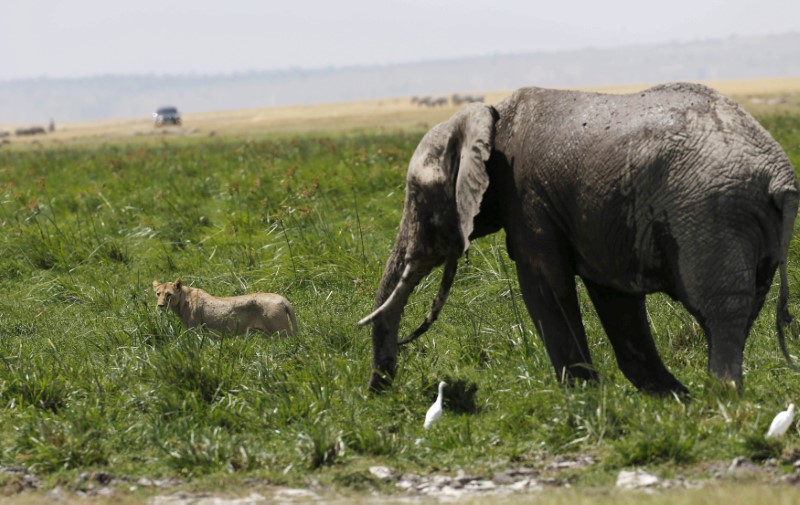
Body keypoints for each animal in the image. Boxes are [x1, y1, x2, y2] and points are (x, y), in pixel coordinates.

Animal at [362, 81, 800, 394]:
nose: (380, 390)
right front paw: (671, 399)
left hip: (708, 213)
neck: (488, 114)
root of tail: (778, 175)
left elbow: (544, 286)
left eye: (417, 196)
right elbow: (613, 296)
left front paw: (583, 398)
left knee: (719, 310)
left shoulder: (528, 198)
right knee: (743, 307)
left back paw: (721, 398)